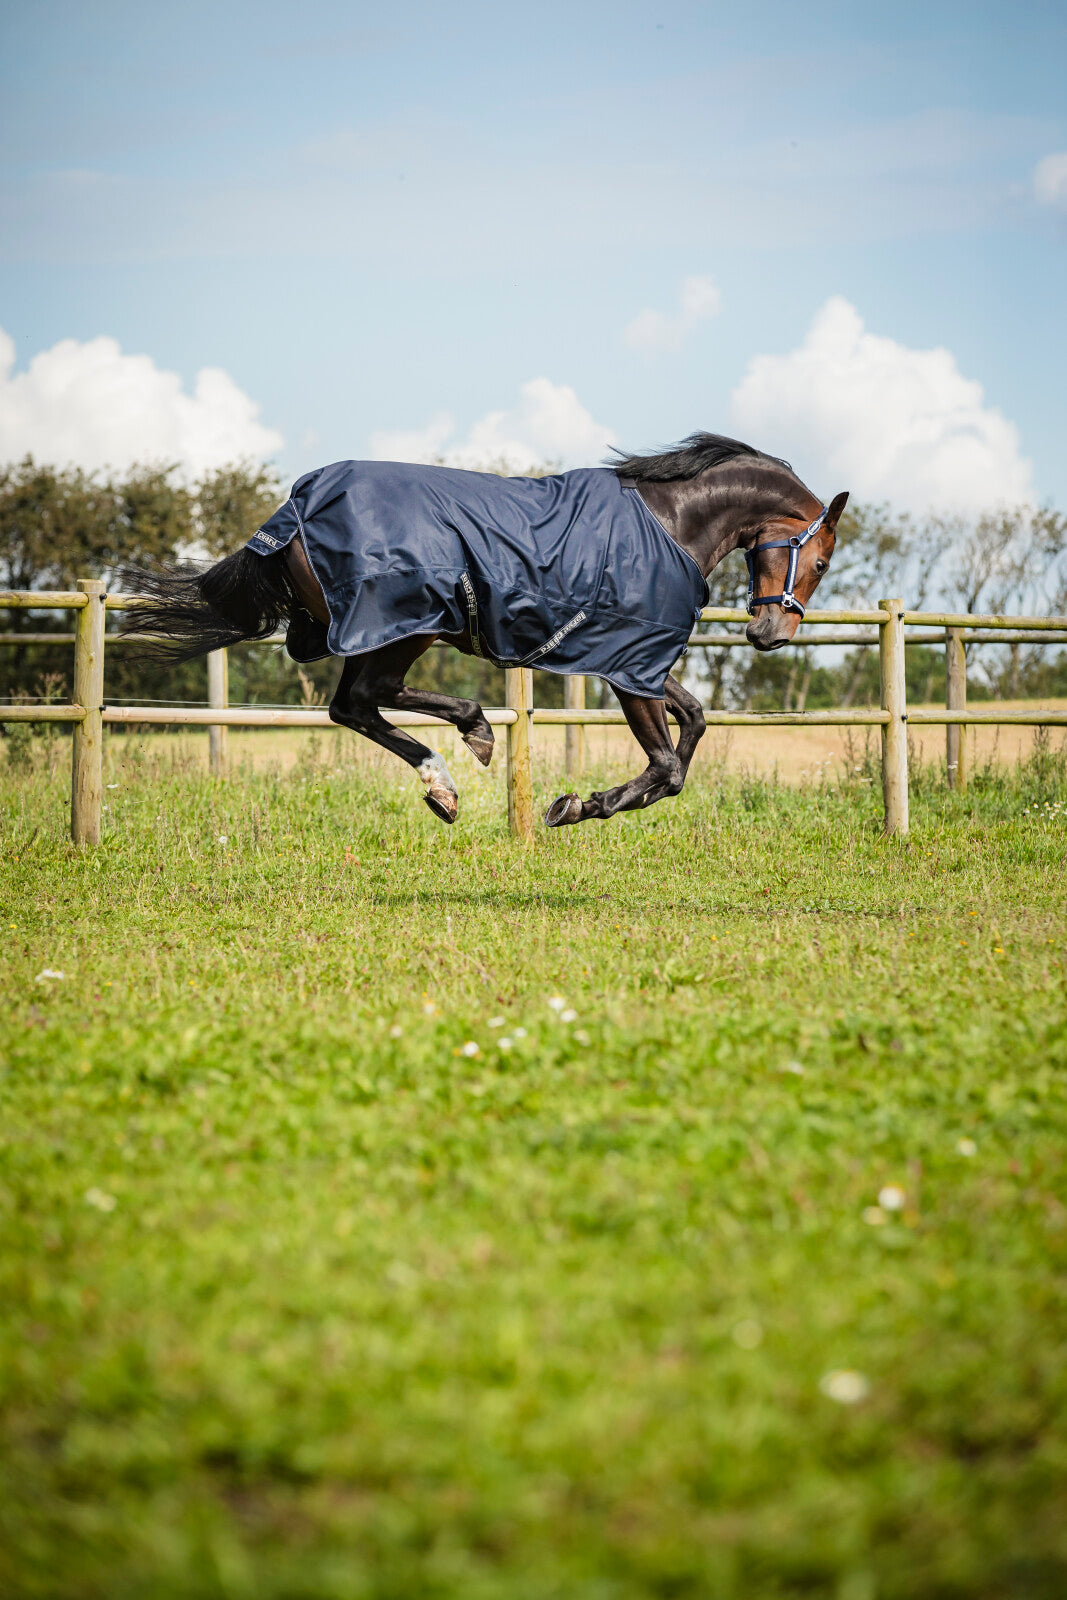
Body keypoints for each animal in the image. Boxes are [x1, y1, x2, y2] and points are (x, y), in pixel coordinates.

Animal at [122, 433, 847, 827]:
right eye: (819, 560)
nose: (770, 634)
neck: (669, 522)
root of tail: (295, 507)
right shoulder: (629, 663)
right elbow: (667, 764)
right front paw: (577, 807)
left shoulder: (635, 660)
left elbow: (692, 722)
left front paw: (593, 802)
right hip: (406, 623)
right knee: (367, 698)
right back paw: (465, 746)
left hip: (382, 629)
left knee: (353, 705)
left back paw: (449, 776)